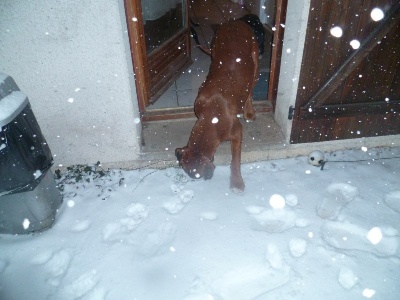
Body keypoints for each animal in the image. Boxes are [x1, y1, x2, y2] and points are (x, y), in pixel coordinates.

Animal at [176, 19, 260, 192]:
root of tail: (235, 21)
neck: (211, 116)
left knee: (250, 89)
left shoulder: (236, 133)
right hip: (215, 49)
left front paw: (236, 182)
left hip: (255, 63)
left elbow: (235, 160)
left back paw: (248, 111)